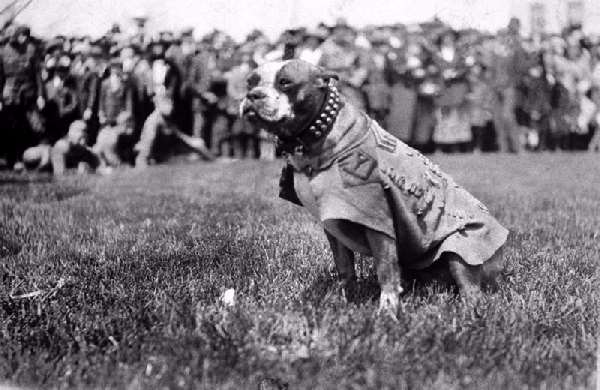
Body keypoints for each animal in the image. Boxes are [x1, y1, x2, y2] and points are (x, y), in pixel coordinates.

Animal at [239, 61, 506, 316]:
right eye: (250, 82)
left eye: (285, 82)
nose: (253, 95)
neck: (318, 135)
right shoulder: (333, 224)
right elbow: (344, 268)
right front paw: (341, 299)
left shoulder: (377, 223)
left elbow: (385, 269)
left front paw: (387, 311)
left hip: (462, 247)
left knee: (470, 288)